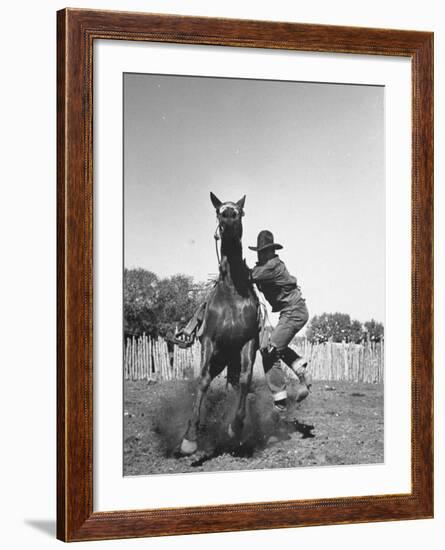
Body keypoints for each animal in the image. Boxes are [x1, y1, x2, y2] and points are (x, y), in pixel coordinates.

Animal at [179, 194, 258, 458]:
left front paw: (236, 427)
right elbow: (203, 380)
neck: (232, 291)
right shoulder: (209, 341)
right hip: (218, 358)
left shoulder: (248, 342)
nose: (229, 217)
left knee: (235, 383)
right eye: (218, 211)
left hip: (229, 359)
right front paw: (189, 438)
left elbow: (245, 380)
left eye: (241, 212)